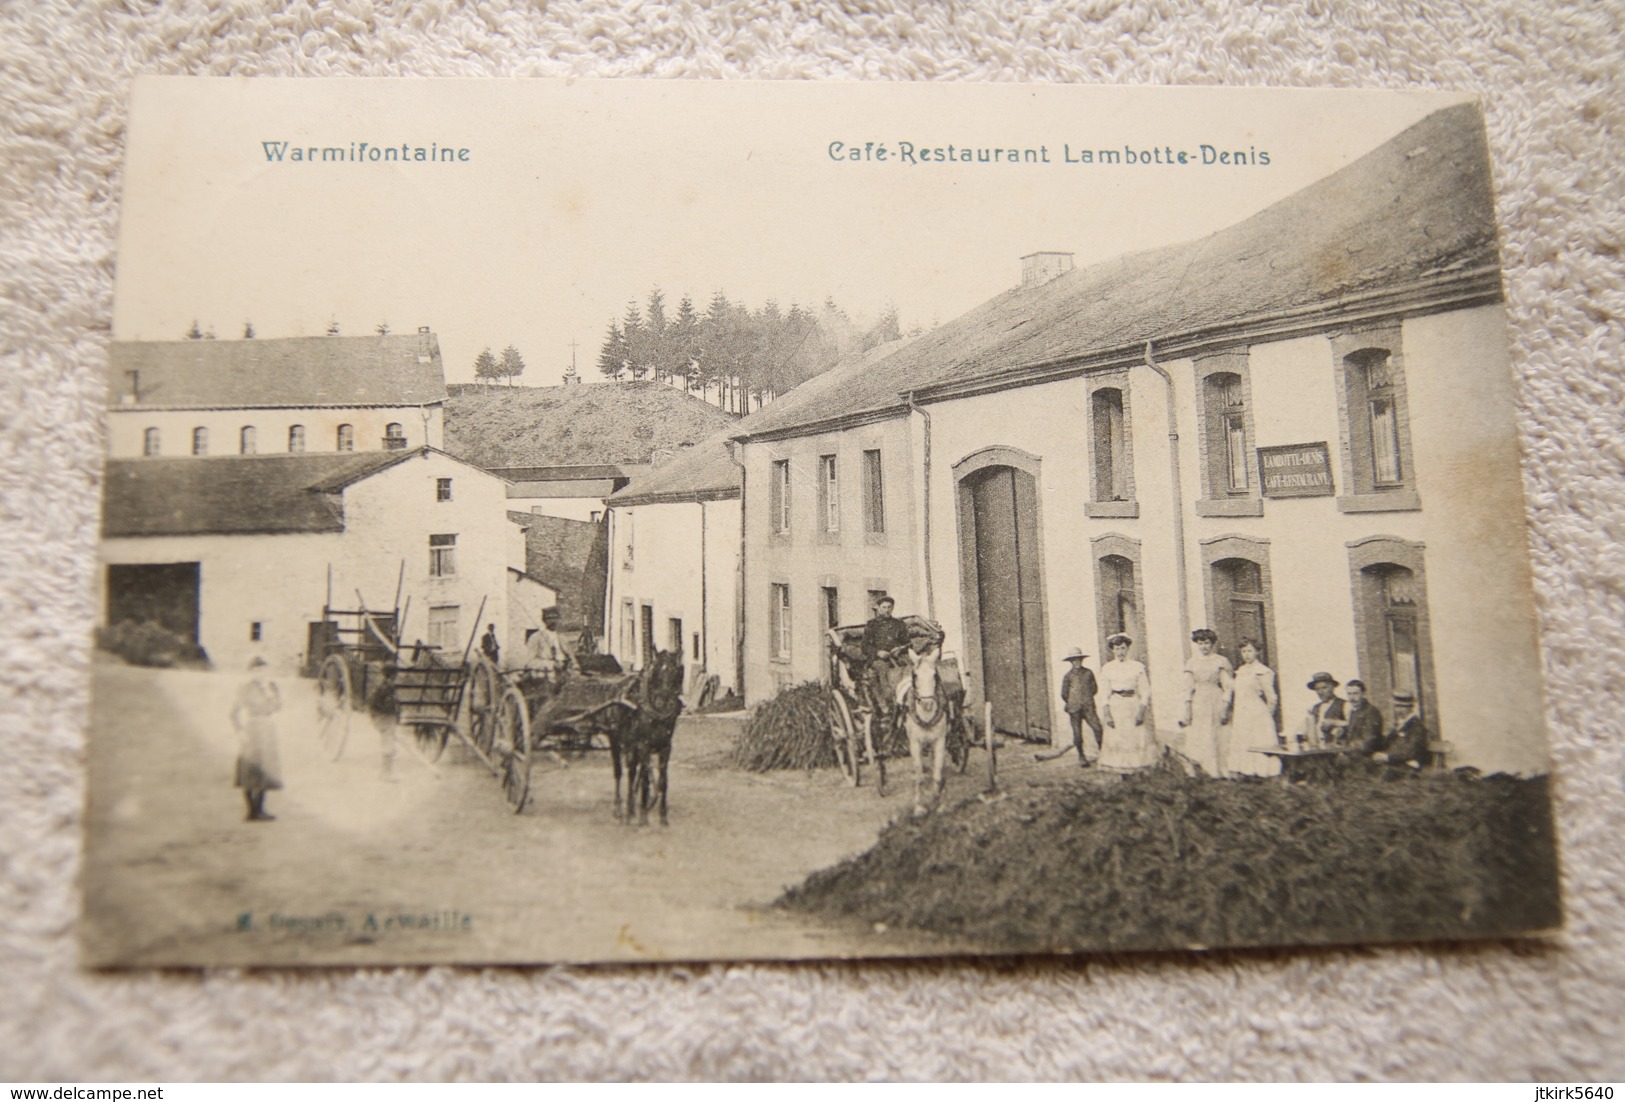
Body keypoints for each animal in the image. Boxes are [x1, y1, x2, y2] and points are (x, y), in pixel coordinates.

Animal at [611, 653, 685, 825]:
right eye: (656, 672)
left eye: (675, 673)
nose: (662, 702)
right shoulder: (643, 745)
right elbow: (645, 781)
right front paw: (644, 815)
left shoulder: (665, 747)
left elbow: (662, 781)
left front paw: (662, 816)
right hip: (616, 743)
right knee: (621, 772)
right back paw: (621, 809)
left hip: (634, 748)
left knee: (634, 772)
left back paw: (632, 808)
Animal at [903, 643, 949, 815]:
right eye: (915, 675)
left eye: (934, 674)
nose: (927, 703)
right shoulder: (915, 743)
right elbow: (919, 774)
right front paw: (919, 807)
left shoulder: (940, 740)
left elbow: (938, 772)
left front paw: (938, 801)